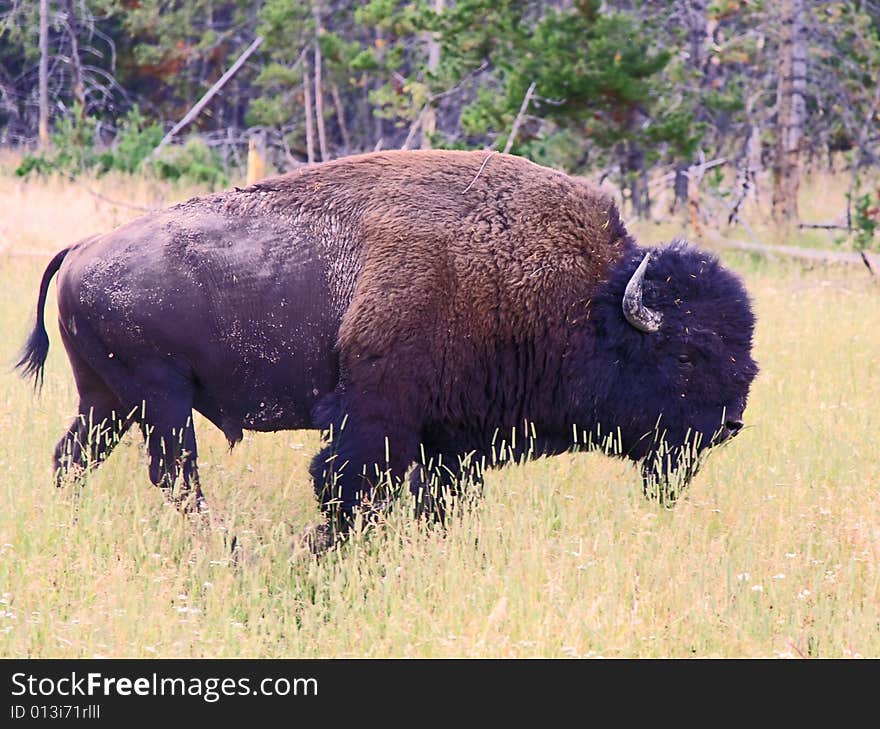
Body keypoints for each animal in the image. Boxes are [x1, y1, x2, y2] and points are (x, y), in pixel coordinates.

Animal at [15, 154, 756, 536]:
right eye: (686, 354)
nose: (729, 424)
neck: (584, 301)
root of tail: (84, 247)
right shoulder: (376, 422)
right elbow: (347, 487)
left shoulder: (450, 440)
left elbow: (439, 502)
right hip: (159, 399)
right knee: (175, 474)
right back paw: (224, 544)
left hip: (107, 401)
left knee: (72, 457)